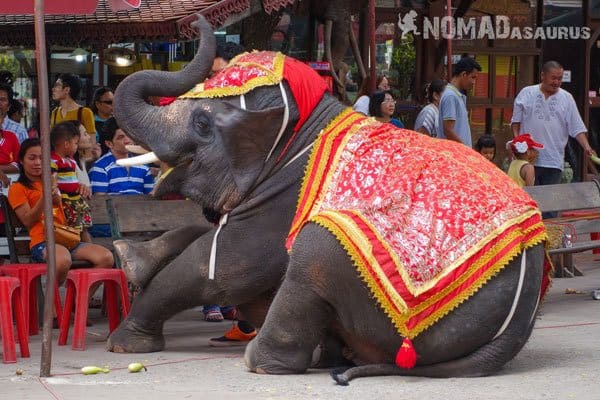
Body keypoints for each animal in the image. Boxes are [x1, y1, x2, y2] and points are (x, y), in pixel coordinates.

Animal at [109, 15, 552, 384]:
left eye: (202, 123)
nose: (193, 23)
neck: (308, 125)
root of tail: (517, 329)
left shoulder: (287, 192)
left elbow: (225, 266)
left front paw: (125, 342)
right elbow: (210, 233)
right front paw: (129, 257)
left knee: (313, 249)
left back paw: (263, 361)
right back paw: (328, 357)